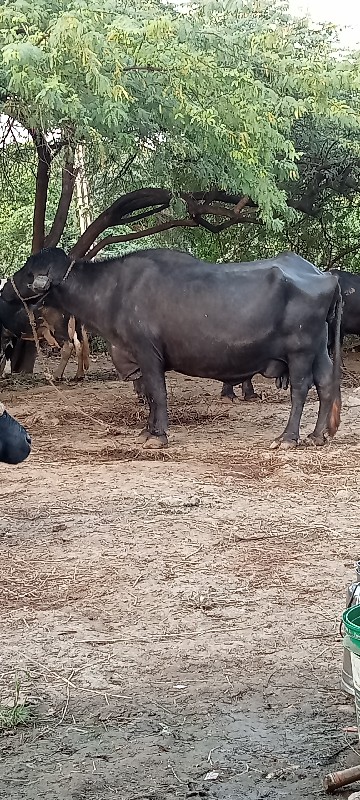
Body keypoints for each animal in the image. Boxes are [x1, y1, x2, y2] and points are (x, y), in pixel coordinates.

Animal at [3, 247, 344, 450]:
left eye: (30, 271)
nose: (5, 288)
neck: (114, 290)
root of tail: (326, 276)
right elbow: (150, 396)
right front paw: (148, 431)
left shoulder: (147, 352)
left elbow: (157, 392)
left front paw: (159, 436)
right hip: (318, 350)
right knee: (327, 384)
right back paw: (317, 435)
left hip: (300, 351)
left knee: (300, 389)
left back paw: (288, 438)